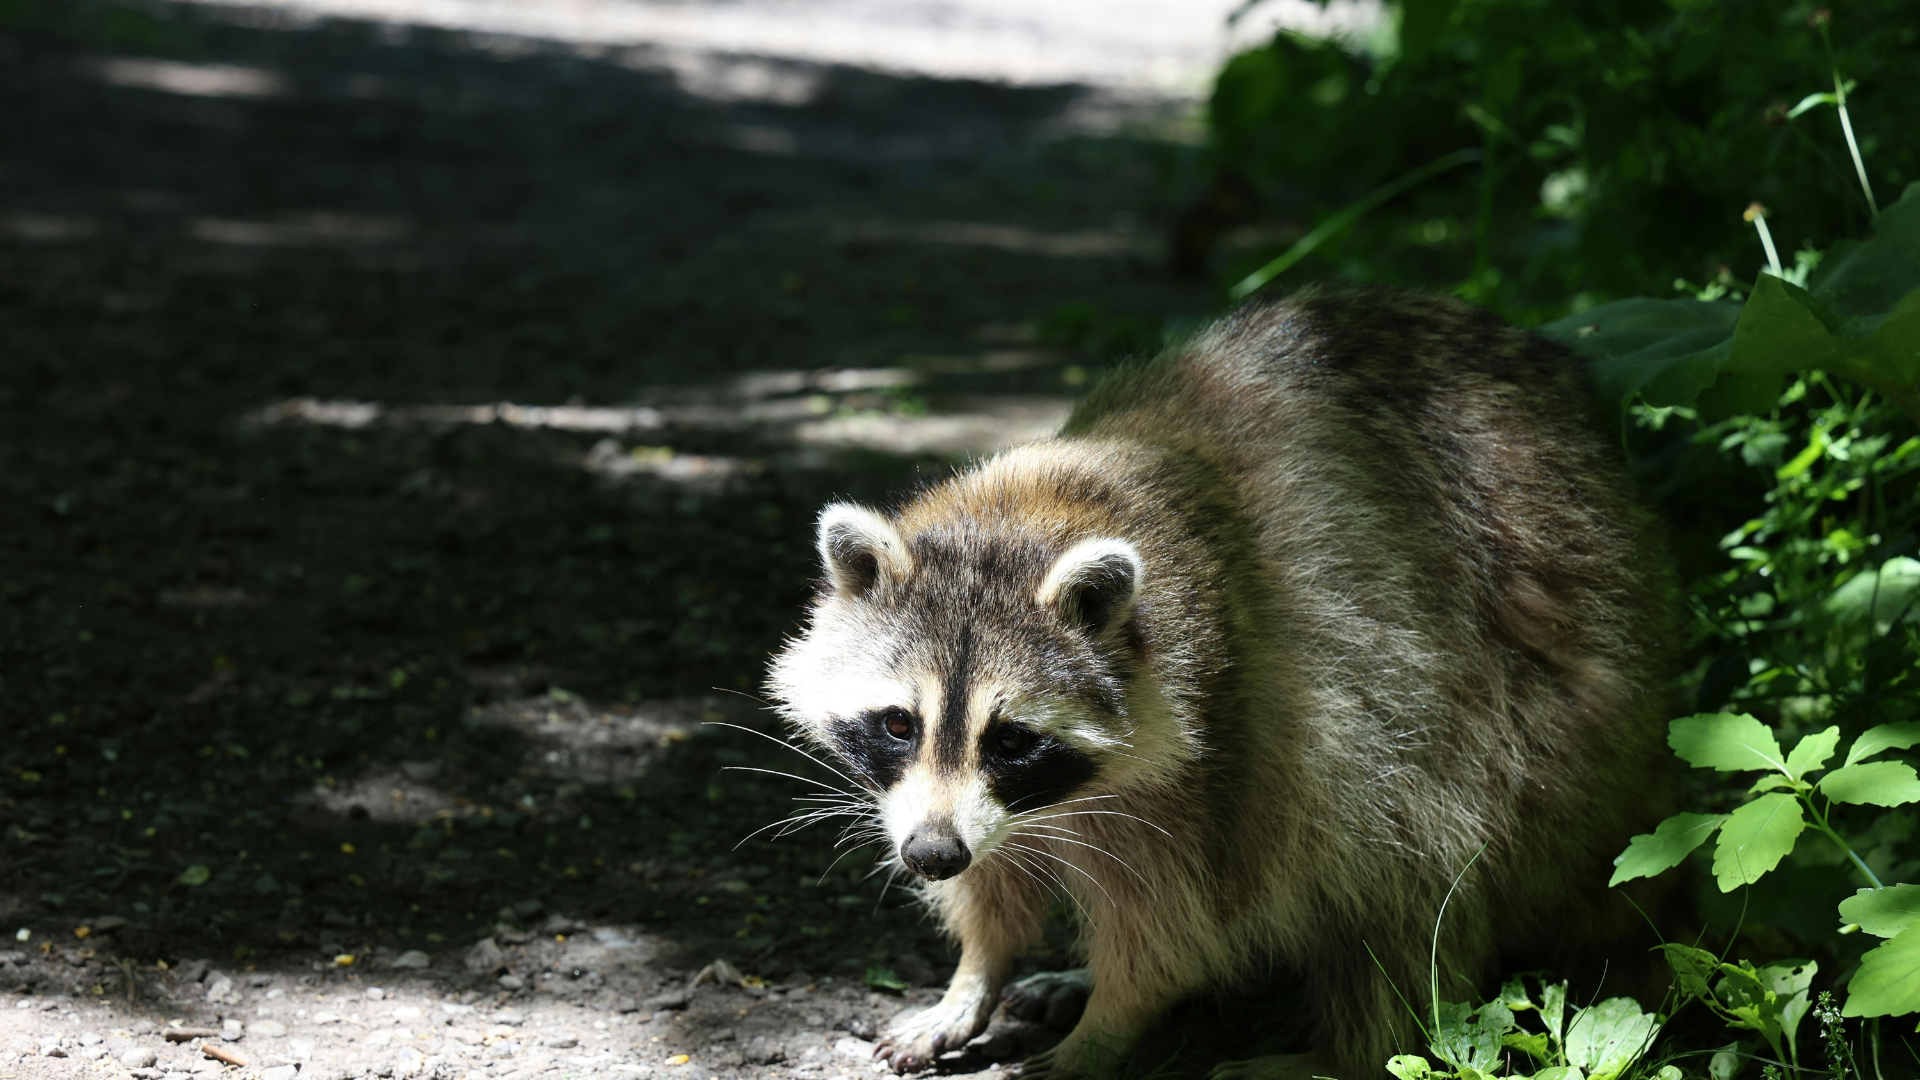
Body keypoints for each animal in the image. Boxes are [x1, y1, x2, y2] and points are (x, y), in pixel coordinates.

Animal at [765, 288, 1674, 1079]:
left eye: (1014, 739)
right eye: (898, 724)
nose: (929, 856)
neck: (1030, 513)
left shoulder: (1238, 738)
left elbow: (1184, 923)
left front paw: (1110, 1023)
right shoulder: (968, 804)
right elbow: (995, 881)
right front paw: (974, 974)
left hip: (1536, 727)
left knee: (1409, 846)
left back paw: (1347, 1049)